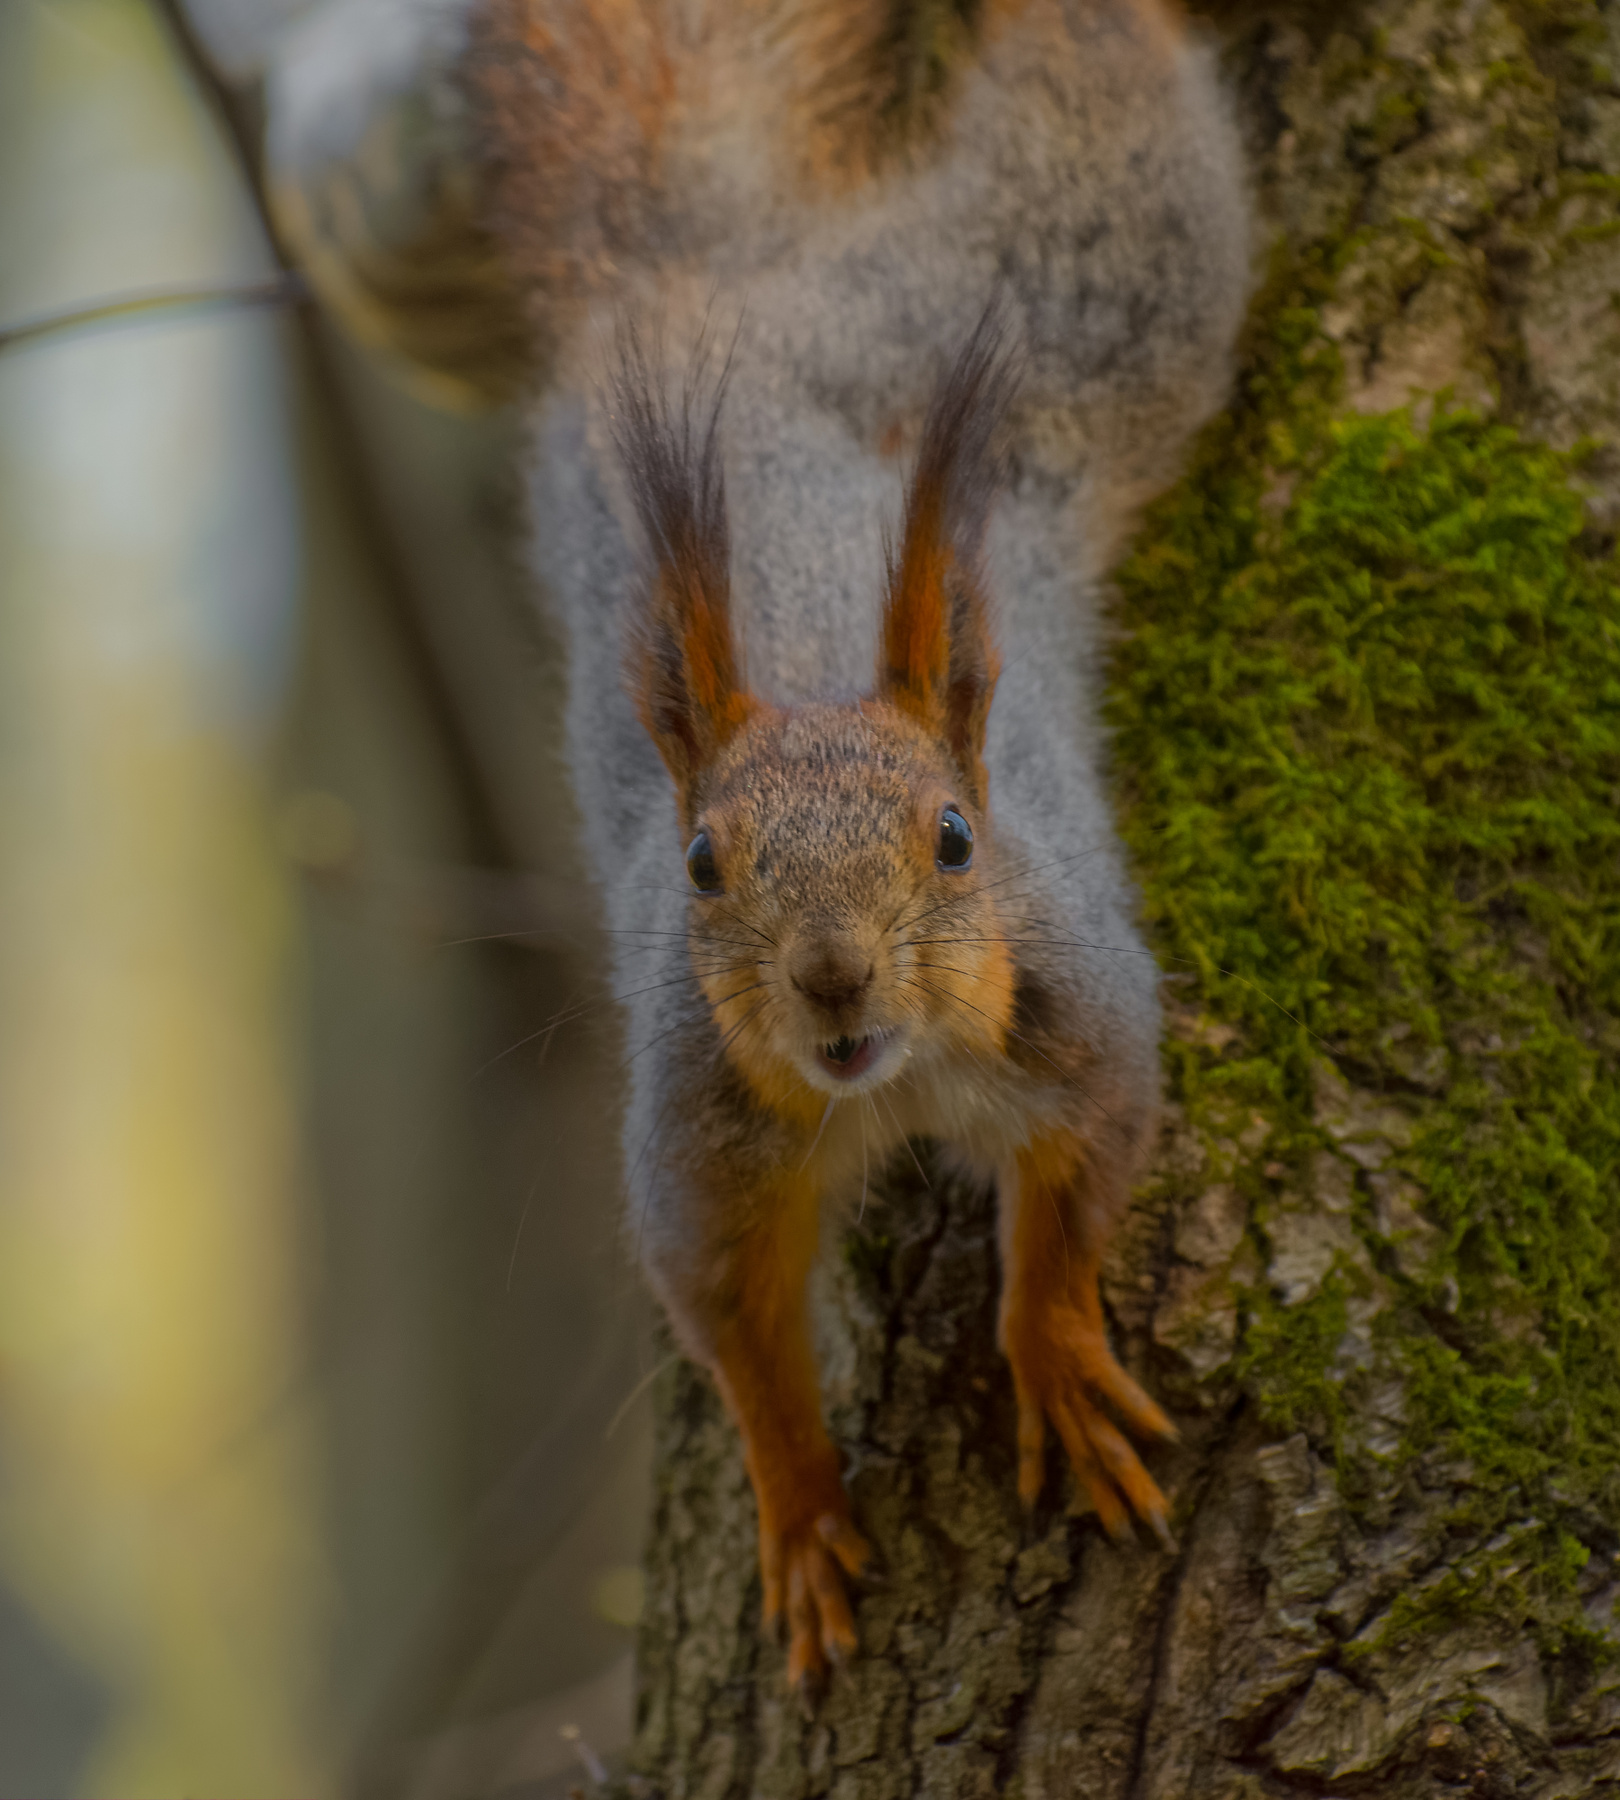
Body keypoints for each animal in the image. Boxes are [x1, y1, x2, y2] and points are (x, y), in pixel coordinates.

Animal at [267, 0, 1251, 1693]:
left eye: (956, 837)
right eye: (701, 864)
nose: (834, 980)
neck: (889, 1086)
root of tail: (699, 260)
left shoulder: (1082, 1015)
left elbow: (1075, 1193)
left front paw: (1055, 1357)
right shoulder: (697, 1142)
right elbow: (734, 1335)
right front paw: (797, 1515)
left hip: (1089, 283)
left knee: (1104, 115)